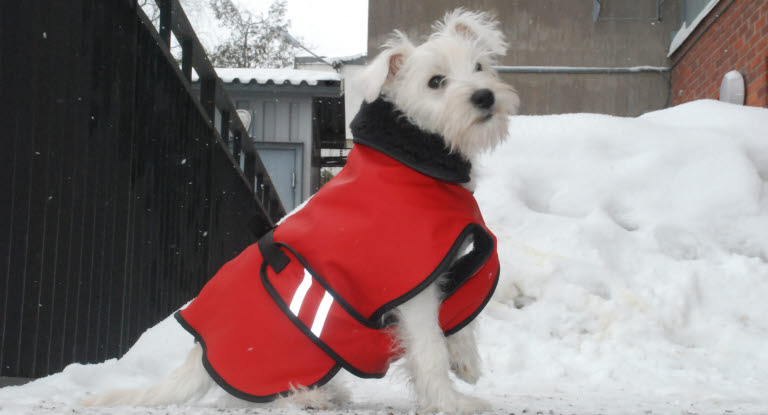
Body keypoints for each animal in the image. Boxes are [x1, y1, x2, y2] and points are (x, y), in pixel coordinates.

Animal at [82, 8, 516, 414]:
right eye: (435, 82)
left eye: (479, 67)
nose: (484, 96)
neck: (410, 159)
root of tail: (199, 354)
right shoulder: (410, 281)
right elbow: (428, 347)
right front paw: (451, 401)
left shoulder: (439, 265)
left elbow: (455, 317)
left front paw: (465, 360)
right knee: (242, 398)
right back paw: (307, 397)